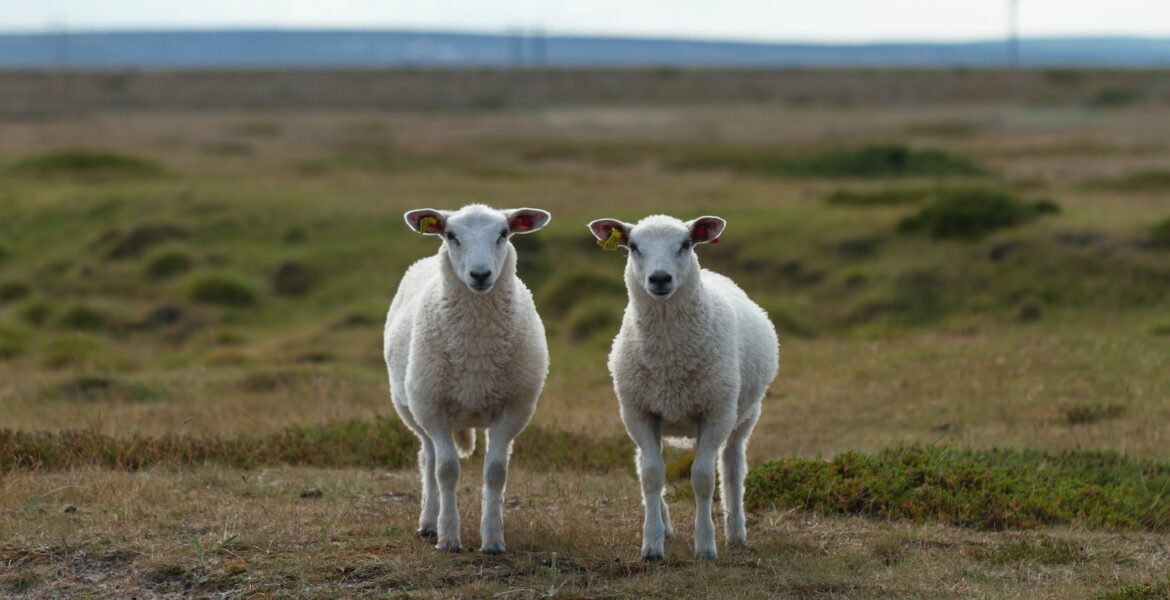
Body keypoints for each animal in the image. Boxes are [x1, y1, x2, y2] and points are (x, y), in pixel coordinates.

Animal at [385, 204, 551, 554]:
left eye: (504, 233)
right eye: (451, 235)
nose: (480, 275)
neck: (477, 346)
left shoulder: (514, 409)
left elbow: (496, 472)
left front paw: (493, 539)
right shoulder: (433, 407)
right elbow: (446, 470)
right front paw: (448, 537)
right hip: (413, 408)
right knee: (428, 459)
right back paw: (429, 522)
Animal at [588, 214, 779, 561]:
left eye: (686, 244)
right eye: (633, 246)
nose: (660, 278)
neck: (670, 357)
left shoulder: (715, 413)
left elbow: (703, 478)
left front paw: (705, 545)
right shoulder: (639, 412)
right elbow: (652, 475)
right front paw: (652, 544)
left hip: (745, 414)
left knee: (732, 466)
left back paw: (736, 532)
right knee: (644, 464)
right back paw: (665, 525)